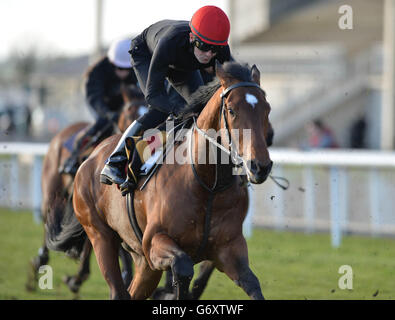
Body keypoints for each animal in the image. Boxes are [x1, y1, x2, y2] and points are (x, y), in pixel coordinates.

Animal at [72, 61, 274, 298]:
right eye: (231, 110)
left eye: (267, 109)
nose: (259, 166)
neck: (208, 184)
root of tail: (90, 158)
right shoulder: (154, 242)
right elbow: (183, 267)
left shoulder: (229, 248)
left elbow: (251, 283)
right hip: (100, 235)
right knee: (117, 288)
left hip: (143, 262)